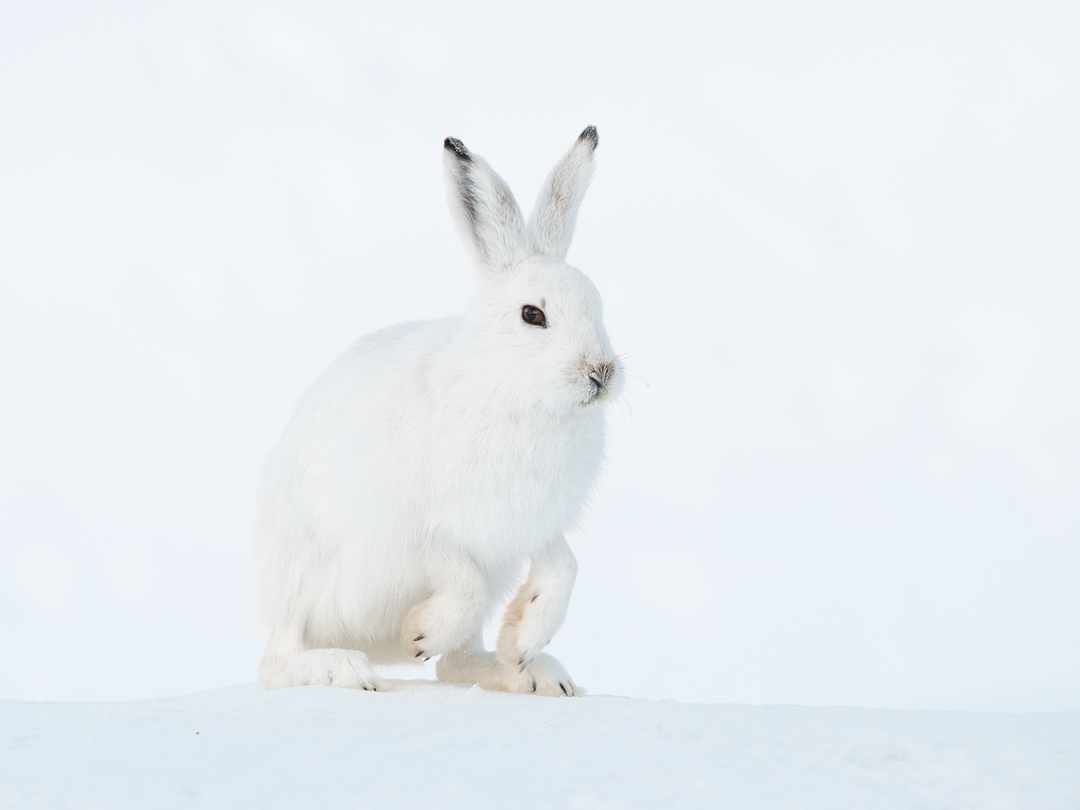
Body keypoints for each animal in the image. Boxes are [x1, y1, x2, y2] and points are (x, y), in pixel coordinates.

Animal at [252, 126, 619, 697]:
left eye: (598, 306)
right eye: (532, 315)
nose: (602, 372)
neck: (511, 392)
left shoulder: (528, 528)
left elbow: (564, 564)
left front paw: (523, 640)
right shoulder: (420, 531)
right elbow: (462, 580)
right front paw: (419, 634)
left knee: (457, 664)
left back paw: (534, 673)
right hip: (302, 570)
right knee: (275, 660)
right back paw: (347, 667)